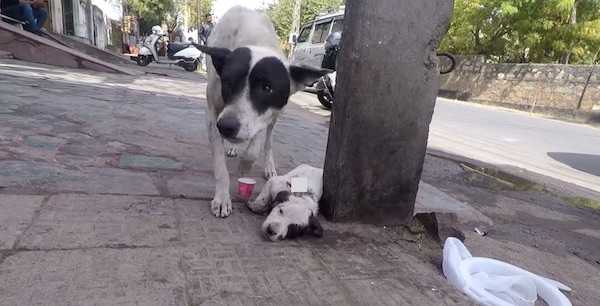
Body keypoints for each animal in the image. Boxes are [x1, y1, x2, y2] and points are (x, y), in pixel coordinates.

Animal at [196, 6, 328, 218]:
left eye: (267, 87)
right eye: (228, 82)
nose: (226, 126)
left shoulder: (267, 115)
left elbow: (254, 149)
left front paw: (244, 167)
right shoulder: (213, 113)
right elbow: (220, 164)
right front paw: (222, 198)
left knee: (268, 142)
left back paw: (267, 165)